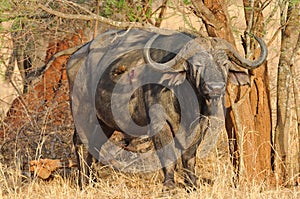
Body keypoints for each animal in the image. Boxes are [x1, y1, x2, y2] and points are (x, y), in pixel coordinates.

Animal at [67, 27, 268, 188]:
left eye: (224, 64)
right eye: (197, 64)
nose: (215, 88)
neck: (187, 102)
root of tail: (75, 58)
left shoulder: (201, 125)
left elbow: (189, 156)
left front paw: (192, 184)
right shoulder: (159, 125)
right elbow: (168, 156)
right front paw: (169, 185)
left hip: (105, 121)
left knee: (96, 144)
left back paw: (93, 180)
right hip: (83, 112)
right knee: (81, 142)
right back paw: (83, 181)